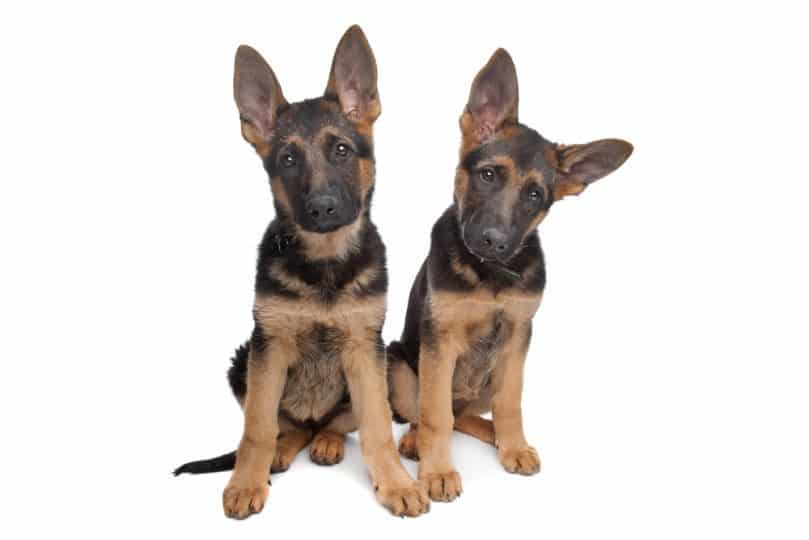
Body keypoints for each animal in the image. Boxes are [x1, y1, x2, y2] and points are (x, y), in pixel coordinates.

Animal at [174, 25, 432, 520]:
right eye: (288, 160)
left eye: (342, 150)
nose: (322, 208)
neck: (325, 266)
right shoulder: (268, 346)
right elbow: (256, 427)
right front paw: (246, 481)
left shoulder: (364, 349)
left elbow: (376, 427)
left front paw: (395, 483)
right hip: (242, 361)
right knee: (286, 424)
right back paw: (284, 448)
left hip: (387, 361)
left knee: (336, 423)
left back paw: (327, 440)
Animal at [388, 48, 636, 500]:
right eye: (488, 175)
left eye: (535, 195)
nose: (494, 241)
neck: (490, 276)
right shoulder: (439, 338)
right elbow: (434, 411)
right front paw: (437, 471)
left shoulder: (519, 335)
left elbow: (510, 401)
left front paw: (514, 446)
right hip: (398, 361)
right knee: (431, 411)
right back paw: (416, 441)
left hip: (484, 380)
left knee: (465, 414)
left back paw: (498, 437)